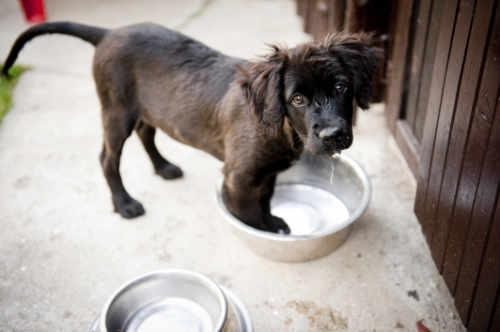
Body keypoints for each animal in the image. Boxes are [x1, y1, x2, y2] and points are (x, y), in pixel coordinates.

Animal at [2, 22, 378, 233]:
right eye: (297, 99)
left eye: (342, 87)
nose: (333, 135)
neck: (282, 128)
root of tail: (109, 33)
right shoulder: (239, 176)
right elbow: (248, 212)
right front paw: (263, 230)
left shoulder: (267, 172)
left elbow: (265, 199)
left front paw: (271, 221)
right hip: (116, 112)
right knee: (108, 158)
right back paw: (125, 204)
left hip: (149, 109)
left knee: (146, 134)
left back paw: (163, 167)